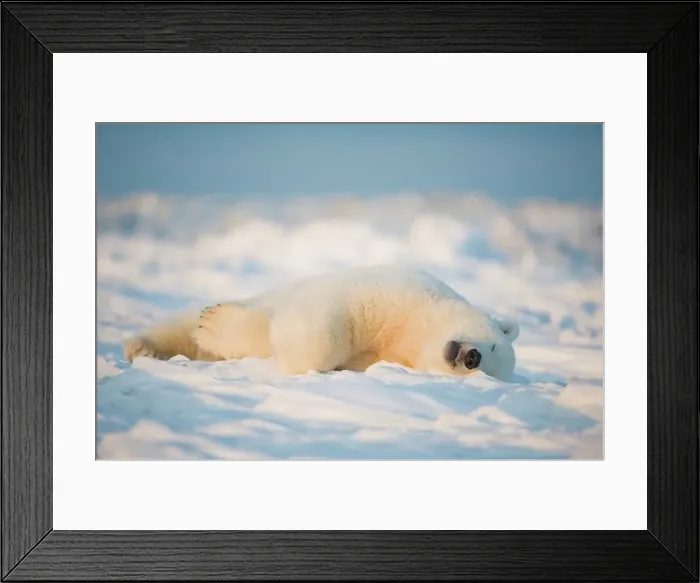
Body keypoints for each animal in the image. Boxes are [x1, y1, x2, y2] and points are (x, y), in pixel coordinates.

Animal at [123, 266, 520, 380]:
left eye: (485, 370)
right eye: (493, 344)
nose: (471, 357)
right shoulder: (399, 291)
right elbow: (333, 315)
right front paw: (215, 324)